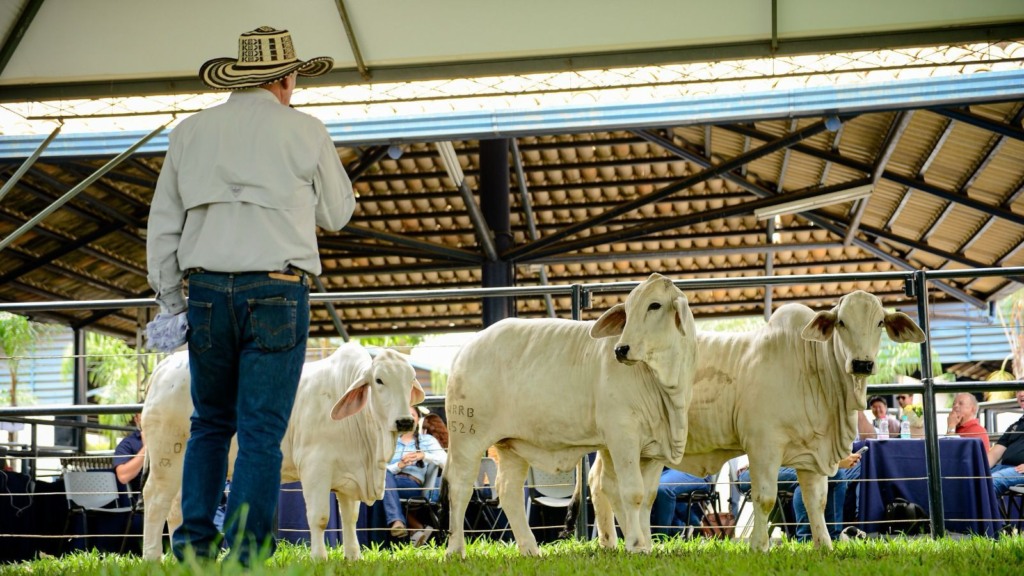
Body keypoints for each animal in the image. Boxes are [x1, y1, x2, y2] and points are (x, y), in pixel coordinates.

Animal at [140, 342, 419, 557]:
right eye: (379, 380)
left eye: (410, 381)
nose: (405, 421)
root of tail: (165, 366)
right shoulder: (315, 468)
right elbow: (319, 517)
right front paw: (320, 558)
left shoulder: (349, 475)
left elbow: (350, 520)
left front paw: (353, 558)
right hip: (167, 456)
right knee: (155, 500)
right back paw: (153, 558)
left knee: (175, 508)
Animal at [446, 272, 696, 557]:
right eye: (628, 309)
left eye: (655, 305)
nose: (621, 349)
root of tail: (468, 346)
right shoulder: (623, 437)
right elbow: (632, 492)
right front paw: (635, 544)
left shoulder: (653, 450)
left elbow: (648, 498)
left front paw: (646, 545)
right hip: (467, 435)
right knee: (460, 486)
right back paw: (455, 550)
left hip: (511, 445)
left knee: (508, 490)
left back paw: (530, 549)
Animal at [581, 289, 925, 549]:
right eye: (841, 322)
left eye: (879, 322)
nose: (862, 363)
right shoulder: (764, 445)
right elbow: (765, 498)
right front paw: (760, 546)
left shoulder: (812, 453)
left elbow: (816, 502)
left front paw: (824, 546)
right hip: (621, 439)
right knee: (612, 486)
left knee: (598, 483)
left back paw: (611, 543)